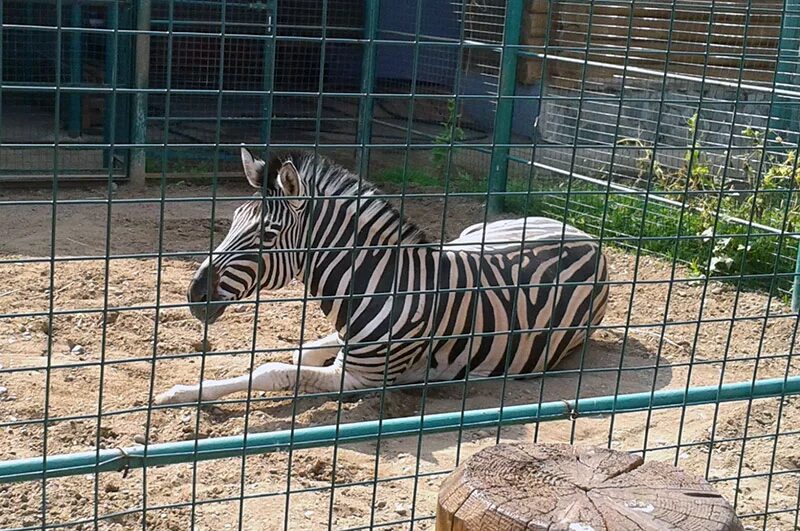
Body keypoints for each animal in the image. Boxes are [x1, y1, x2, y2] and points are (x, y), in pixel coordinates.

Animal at [153, 148, 608, 406]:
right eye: (232, 220)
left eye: (268, 234)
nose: (194, 294)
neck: (382, 282)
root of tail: (584, 233)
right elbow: (294, 355)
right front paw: (186, 389)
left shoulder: (358, 379)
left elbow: (274, 371)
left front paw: (182, 394)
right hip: (474, 233)